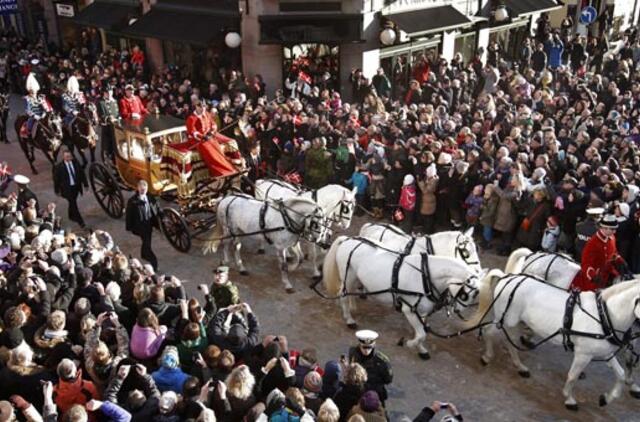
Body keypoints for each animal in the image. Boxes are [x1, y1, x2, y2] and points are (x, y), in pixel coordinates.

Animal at [322, 236, 482, 358]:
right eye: (465, 295)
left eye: (476, 295)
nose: (458, 311)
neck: (425, 275)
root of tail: (347, 239)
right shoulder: (409, 310)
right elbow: (421, 334)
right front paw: (410, 343)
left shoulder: (422, 312)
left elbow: (422, 333)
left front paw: (421, 349)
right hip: (348, 276)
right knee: (343, 295)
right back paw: (349, 319)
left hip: (356, 277)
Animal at [468, 272, 640, 410]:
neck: (604, 315)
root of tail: (507, 278)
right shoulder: (583, 355)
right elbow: (572, 376)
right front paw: (569, 399)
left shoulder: (605, 353)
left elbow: (621, 375)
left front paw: (606, 399)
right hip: (505, 321)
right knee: (488, 332)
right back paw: (487, 357)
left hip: (514, 323)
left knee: (511, 343)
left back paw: (520, 367)